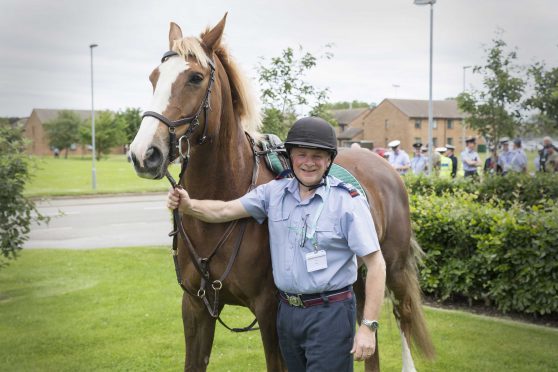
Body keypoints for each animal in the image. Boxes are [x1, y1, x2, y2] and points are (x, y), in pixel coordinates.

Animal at [129, 13, 436, 370]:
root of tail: (385, 167)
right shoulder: (195, 308)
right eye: (154, 77)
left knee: (402, 319)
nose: (144, 153)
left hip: (393, 271)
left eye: (195, 77)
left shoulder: (270, 312)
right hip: (360, 278)